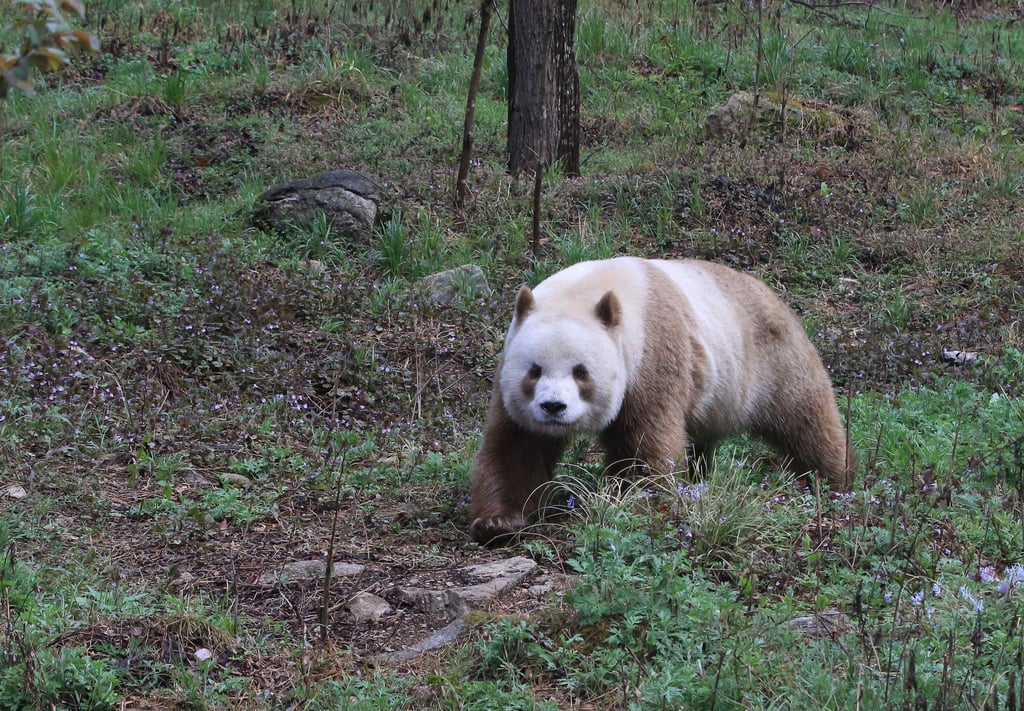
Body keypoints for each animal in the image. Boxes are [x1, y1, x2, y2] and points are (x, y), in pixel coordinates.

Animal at [469, 257, 854, 545]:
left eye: (581, 372)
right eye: (534, 371)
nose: (553, 407)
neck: (587, 292)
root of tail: (771, 292)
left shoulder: (650, 355)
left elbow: (645, 443)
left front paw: (636, 503)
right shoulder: (510, 375)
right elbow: (517, 445)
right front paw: (498, 524)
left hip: (768, 361)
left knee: (805, 420)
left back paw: (834, 482)